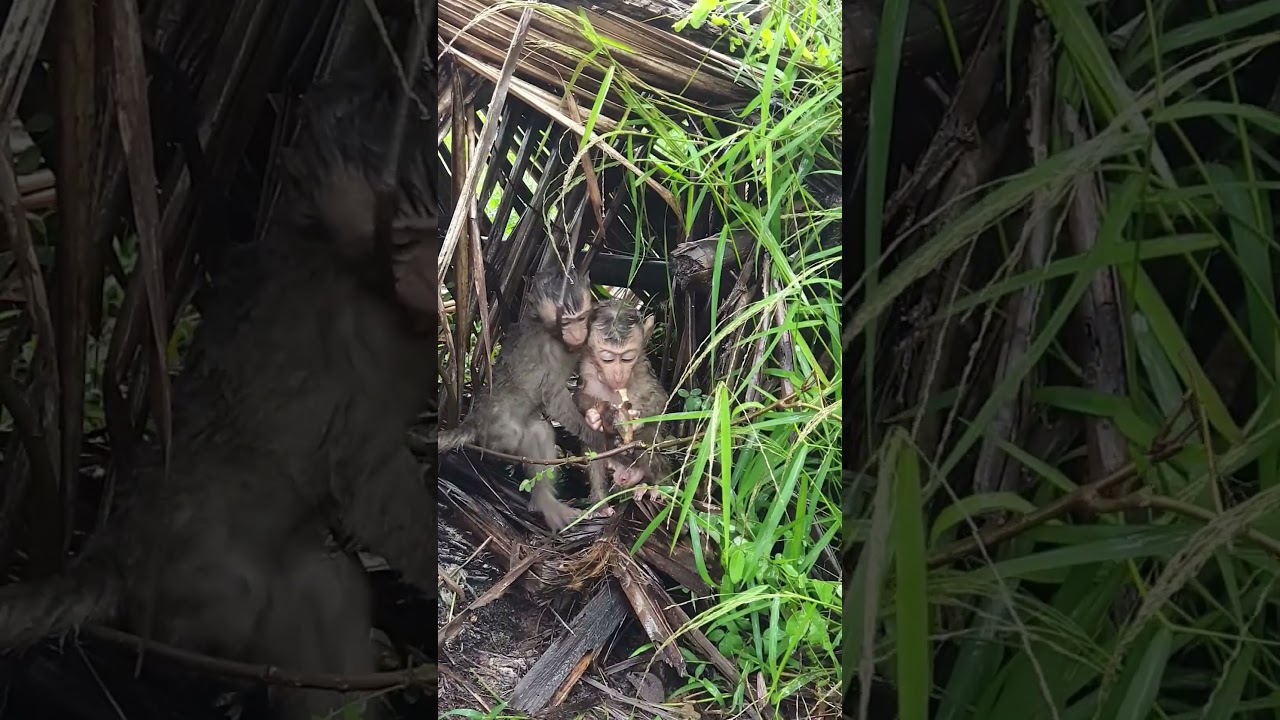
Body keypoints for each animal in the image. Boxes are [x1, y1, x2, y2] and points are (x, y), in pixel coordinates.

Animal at [0, 69, 435, 720]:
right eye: (403, 233)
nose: (422, 274)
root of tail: (115, 550)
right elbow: (371, 479)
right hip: (201, 581)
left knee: (324, 591)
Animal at [437, 267, 610, 531]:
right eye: (566, 322)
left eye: (580, 318)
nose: (577, 333)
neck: (554, 336)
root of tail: (472, 420)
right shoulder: (549, 352)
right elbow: (554, 398)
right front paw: (594, 436)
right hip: (495, 433)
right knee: (525, 436)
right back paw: (544, 503)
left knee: (540, 432)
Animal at [572, 300, 673, 505]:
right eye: (607, 359)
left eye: (627, 358)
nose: (618, 374)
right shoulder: (587, 368)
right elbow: (578, 396)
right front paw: (595, 416)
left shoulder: (641, 365)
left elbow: (660, 398)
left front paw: (637, 420)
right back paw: (601, 502)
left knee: (650, 438)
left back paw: (656, 486)